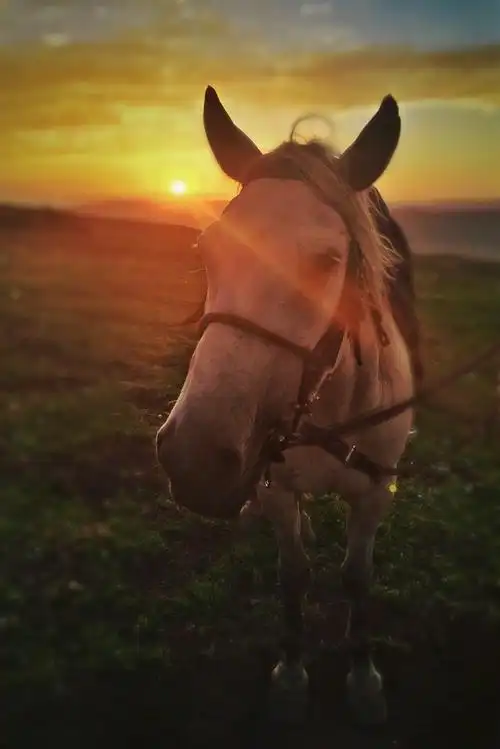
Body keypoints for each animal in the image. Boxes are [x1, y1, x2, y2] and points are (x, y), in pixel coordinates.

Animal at [156, 85, 416, 726]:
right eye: (207, 249)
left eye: (328, 262)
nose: (196, 459)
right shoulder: (274, 487)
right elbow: (293, 575)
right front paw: (293, 672)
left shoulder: (376, 493)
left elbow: (356, 578)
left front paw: (363, 676)